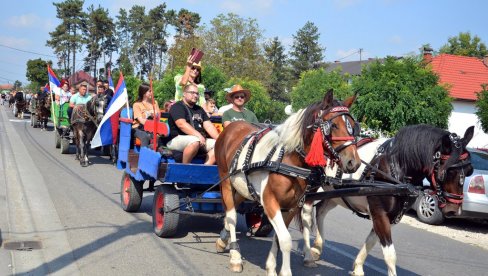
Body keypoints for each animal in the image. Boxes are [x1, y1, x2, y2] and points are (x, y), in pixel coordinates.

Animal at [214, 89, 362, 274]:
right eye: (333, 126)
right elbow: (285, 239)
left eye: (353, 126)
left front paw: (271, 267)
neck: (289, 160)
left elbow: (279, 238)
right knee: (232, 214)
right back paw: (235, 256)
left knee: (233, 207)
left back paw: (223, 239)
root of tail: (233, 126)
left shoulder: (291, 205)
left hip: (242, 187)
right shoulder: (270, 201)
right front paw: (284, 271)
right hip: (226, 181)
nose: (353, 162)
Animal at [302, 124, 472, 274]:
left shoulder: (390, 217)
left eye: (469, 170)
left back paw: (317, 248)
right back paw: (308, 255)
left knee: (321, 210)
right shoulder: (379, 213)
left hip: (334, 195)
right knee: (306, 214)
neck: (397, 167)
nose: (453, 209)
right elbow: (390, 255)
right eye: (447, 171)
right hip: (311, 187)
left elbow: (371, 241)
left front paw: (358, 267)